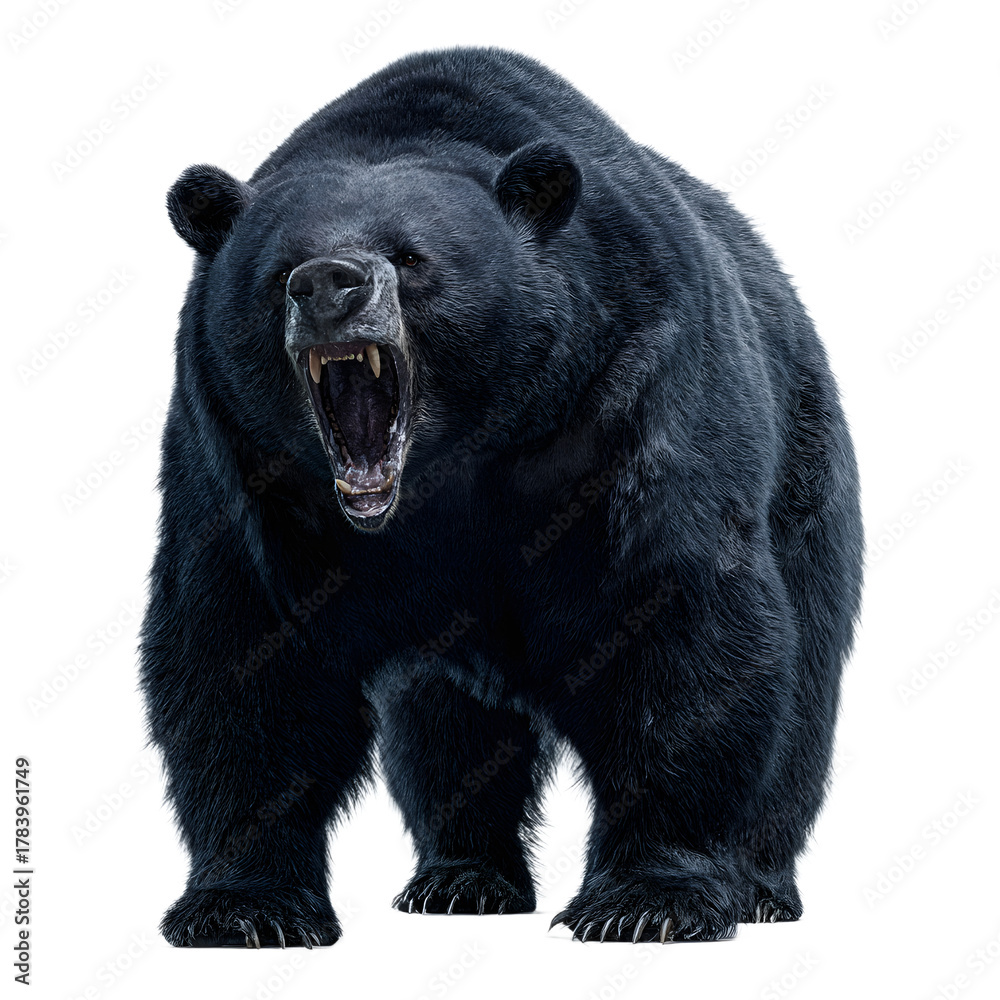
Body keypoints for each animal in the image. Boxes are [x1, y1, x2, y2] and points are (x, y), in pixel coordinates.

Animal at [140, 45, 863, 948]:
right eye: (277, 271)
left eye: (412, 257)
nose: (328, 283)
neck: (445, 475)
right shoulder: (247, 474)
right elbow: (240, 653)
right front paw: (241, 906)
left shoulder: (629, 400)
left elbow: (675, 626)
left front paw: (649, 898)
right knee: (445, 730)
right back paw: (460, 875)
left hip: (806, 480)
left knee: (804, 696)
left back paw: (763, 886)